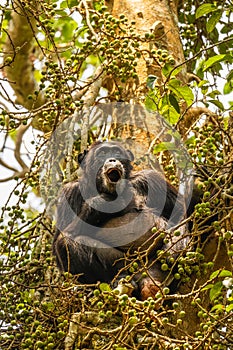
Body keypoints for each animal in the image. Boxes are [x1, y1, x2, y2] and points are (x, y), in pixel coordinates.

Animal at [52, 141, 187, 300]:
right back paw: (116, 281)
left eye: (117, 152)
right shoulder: (69, 193)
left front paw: (172, 250)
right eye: (102, 153)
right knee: (66, 243)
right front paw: (102, 202)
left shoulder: (151, 178)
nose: (112, 159)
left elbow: (180, 211)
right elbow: (60, 239)